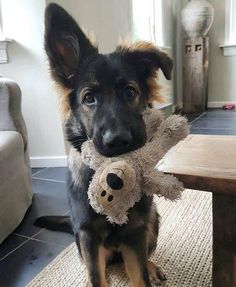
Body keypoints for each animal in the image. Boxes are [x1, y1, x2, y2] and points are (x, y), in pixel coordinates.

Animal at [36, 3, 173, 286]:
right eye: (89, 98)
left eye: (130, 92)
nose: (118, 140)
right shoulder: (88, 235)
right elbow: (96, 274)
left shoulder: (135, 233)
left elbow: (140, 275)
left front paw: (147, 272)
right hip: (80, 239)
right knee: (93, 268)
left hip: (152, 219)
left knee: (144, 256)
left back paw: (153, 267)